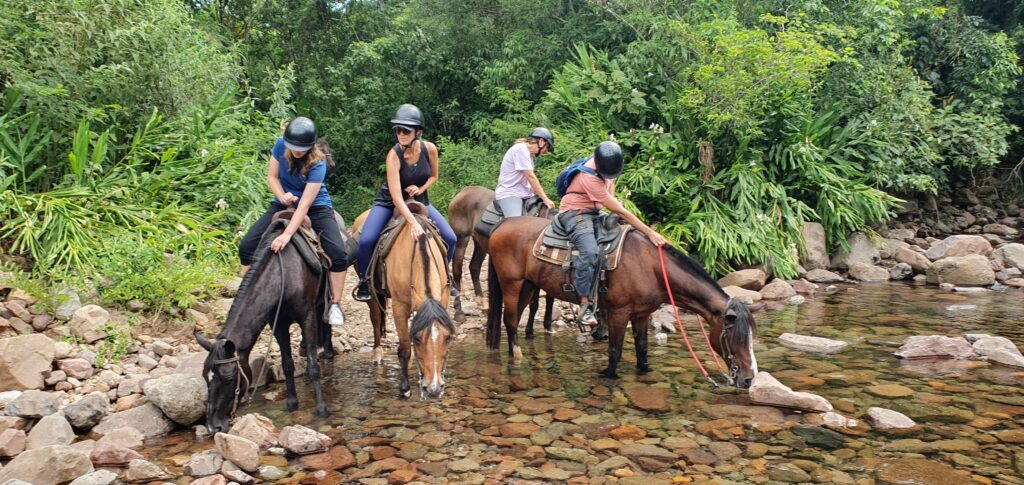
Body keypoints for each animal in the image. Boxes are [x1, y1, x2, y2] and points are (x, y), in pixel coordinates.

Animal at [193, 217, 329, 433]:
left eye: (229, 378)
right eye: (206, 376)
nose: (214, 427)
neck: (283, 275)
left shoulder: (307, 317)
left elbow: (313, 367)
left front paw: (321, 409)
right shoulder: (278, 324)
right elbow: (287, 365)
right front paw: (292, 404)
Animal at [352, 202, 452, 399]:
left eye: (447, 338)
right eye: (418, 339)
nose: (434, 389)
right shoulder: (400, 306)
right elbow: (404, 348)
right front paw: (405, 389)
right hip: (372, 293)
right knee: (376, 319)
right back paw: (377, 354)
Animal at [450, 184, 557, 335]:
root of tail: (463, 191)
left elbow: (549, 298)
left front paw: (547, 326)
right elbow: (535, 302)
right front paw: (530, 329)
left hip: (480, 243)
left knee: (474, 267)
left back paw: (482, 304)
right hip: (461, 239)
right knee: (457, 272)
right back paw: (459, 312)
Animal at [483, 215, 757, 386]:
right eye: (735, 336)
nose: (748, 379)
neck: (651, 267)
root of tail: (503, 223)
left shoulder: (642, 314)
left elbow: (642, 349)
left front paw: (644, 372)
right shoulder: (618, 312)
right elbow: (614, 351)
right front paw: (608, 374)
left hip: (529, 286)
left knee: (513, 318)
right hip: (512, 283)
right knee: (509, 320)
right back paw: (517, 356)